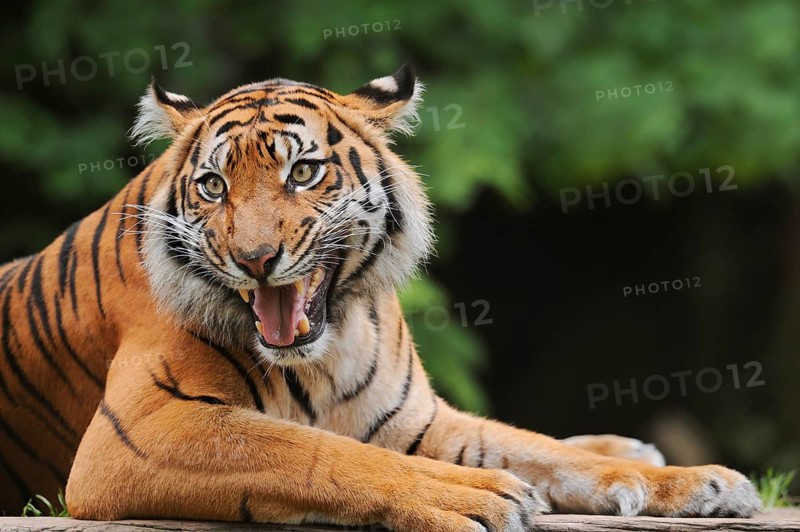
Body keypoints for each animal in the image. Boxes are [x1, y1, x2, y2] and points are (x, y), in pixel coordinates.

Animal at [0, 64, 761, 530]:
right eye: (213, 186)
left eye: (304, 172)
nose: (254, 259)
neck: (329, 347)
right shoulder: (136, 433)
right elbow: (318, 452)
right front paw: (480, 496)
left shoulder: (416, 417)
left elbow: (541, 451)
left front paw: (709, 483)